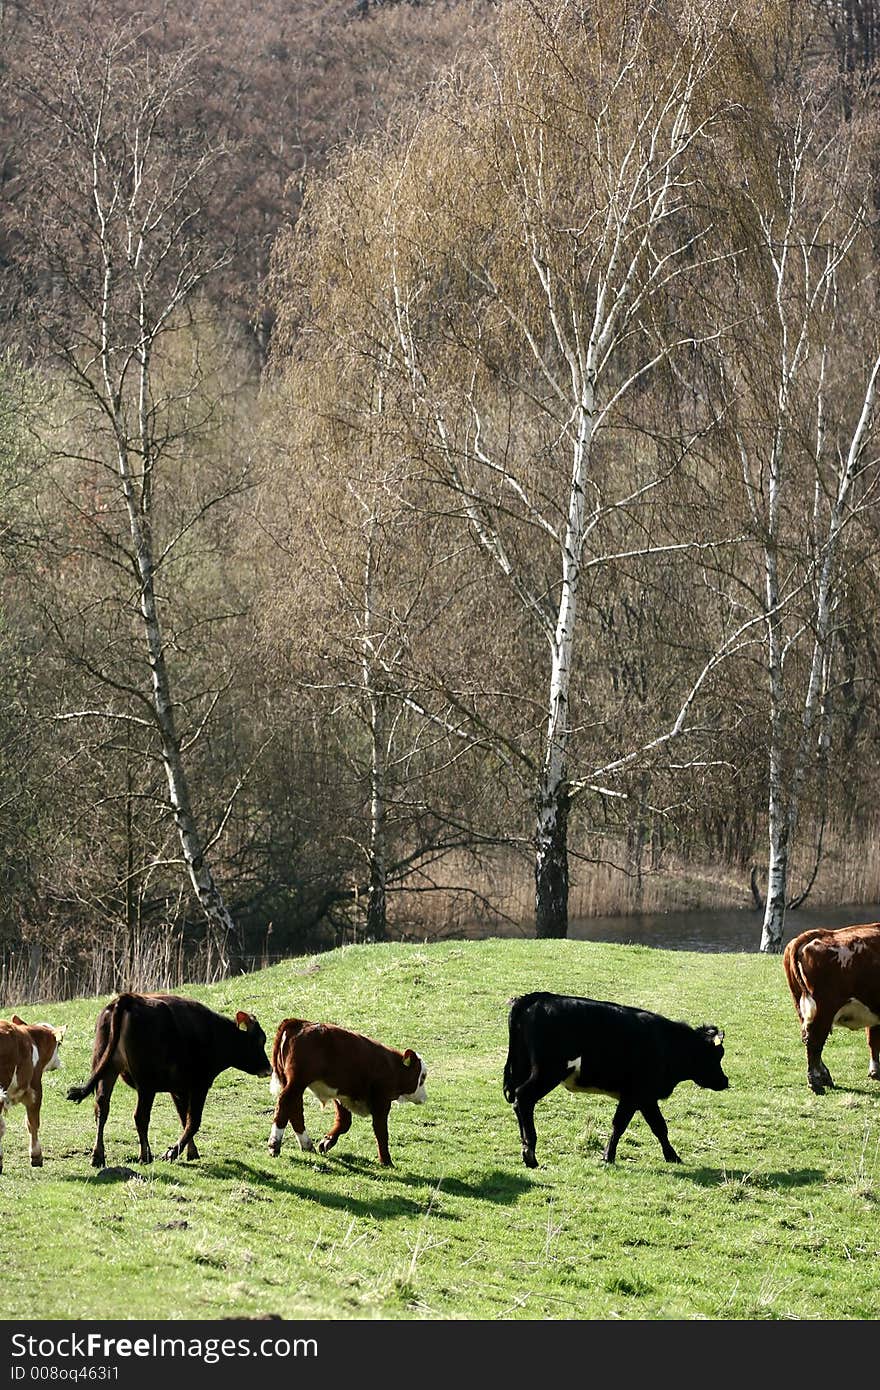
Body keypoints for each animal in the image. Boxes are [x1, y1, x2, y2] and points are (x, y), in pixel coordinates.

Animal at [68, 995, 269, 1167]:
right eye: (259, 1040)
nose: (268, 1068)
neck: (215, 1034)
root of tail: (129, 998)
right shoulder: (199, 1085)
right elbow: (193, 1121)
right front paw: (172, 1153)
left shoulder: (178, 1088)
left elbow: (183, 1117)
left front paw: (191, 1152)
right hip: (146, 1084)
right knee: (140, 1117)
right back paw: (145, 1155)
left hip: (107, 1068)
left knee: (101, 1108)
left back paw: (98, 1156)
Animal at [265, 1017, 428, 1167]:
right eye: (422, 1077)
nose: (425, 1098)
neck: (392, 1066)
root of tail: (301, 1023)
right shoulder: (381, 1101)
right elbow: (381, 1132)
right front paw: (386, 1161)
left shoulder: (341, 1094)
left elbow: (344, 1122)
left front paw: (327, 1142)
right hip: (297, 1082)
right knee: (285, 1103)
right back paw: (274, 1145)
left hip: (293, 1084)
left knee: (295, 1110)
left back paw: (307, 1145)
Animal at [500, 995, 728, 1167]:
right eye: (716, 1056)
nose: (725, 1081)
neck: (666, 1044)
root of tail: (538, 998)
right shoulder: (637, 1095)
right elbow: (626, 1125)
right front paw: (608, 1156)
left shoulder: (643, 1098)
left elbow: (656, 1126)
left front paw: (671, 1156)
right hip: (547, 1072)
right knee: (524, 1098)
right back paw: (530, 1155)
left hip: (525, 1068)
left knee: (518, 1104)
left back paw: (525, 1148)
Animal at [784, 922, 878, 1095]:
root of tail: (817, 933)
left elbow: (873, 1039)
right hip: (823, 1009)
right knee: (814, 1041)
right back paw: (815, 1083)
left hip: (802, 1006)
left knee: (809, 1038)